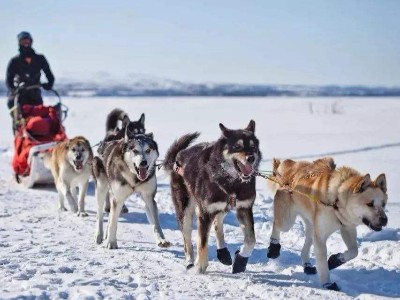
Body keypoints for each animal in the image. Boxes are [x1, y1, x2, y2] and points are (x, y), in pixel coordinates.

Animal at [163, 120, 260, 274]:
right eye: (237, 146)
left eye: (253, 146)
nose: (251, 158)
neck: (232, 182)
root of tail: (178, 157)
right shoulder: (205, 212)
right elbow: (202, 242)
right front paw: (201, 266)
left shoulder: (244, 208)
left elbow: (251, 240)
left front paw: (241, 260)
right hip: (185, 211)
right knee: (187, 239)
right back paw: (190, 262)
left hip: (222, 207)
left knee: (217, 223)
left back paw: (223, 252)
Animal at [266, 157, 388, 290]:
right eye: (370, 204)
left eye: (383, 204)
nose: (384, 220)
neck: (336, 202)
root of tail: (290, 165)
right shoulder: (320, 236)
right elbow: (323, 263)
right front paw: (327, 283)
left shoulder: (347, 228)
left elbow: (354, 251)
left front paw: (336, 260)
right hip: (287, 222)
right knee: (276, 225)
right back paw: (273, 247)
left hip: (311, 227)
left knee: (306, 246)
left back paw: (307, 265)